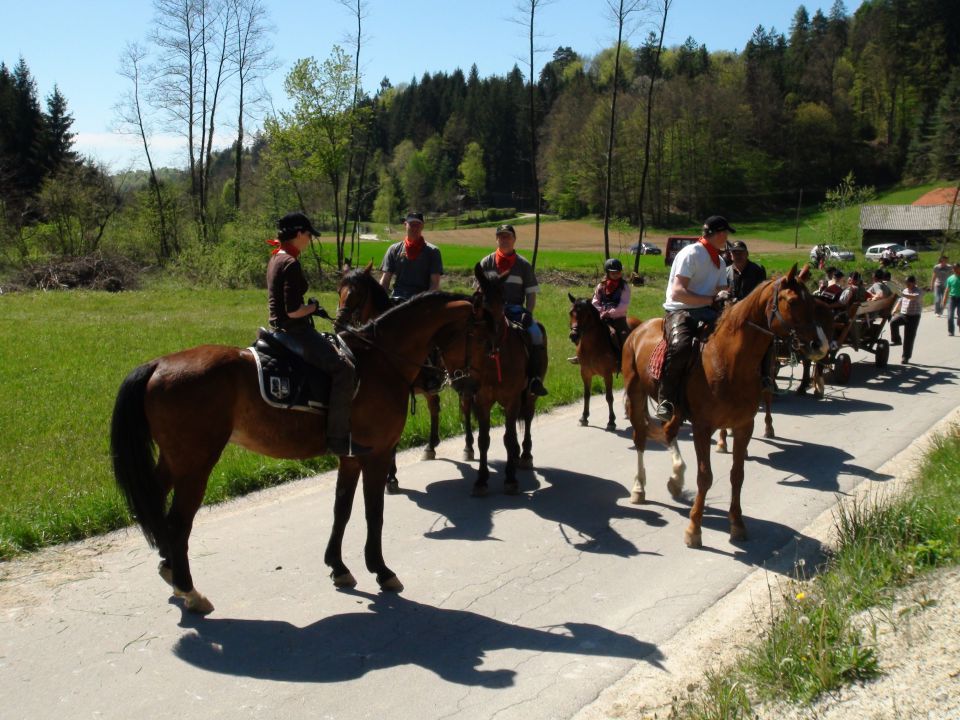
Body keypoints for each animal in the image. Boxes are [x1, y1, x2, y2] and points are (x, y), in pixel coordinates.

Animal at [336, 264, 444, 496]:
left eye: (357, 292)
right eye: (339, 290)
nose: (339, 324)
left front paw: (391, 477)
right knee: (434, 407)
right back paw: (431, 446)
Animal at [568, 296, 640, 430]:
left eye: (586, 314)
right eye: (571, 313)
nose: (573, 335)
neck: (592, 346)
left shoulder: (607, 374)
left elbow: (609, 397)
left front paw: (611, 421)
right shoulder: (585, 373)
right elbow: (586, 395)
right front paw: (584, 417)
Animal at [620, 268, 828, 548]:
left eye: (813, 303)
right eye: (793, 302)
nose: (821, 345)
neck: (728, 360)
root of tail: (638, 329)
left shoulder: (743, 426)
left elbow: (737, 475)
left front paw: (737, 524)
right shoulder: (702, 427)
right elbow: (705, 477)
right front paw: (694, 529)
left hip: (674, 408)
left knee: (667, 431)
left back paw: (676, 478)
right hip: (636, 393)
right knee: (641, 437)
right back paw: (639, 488)